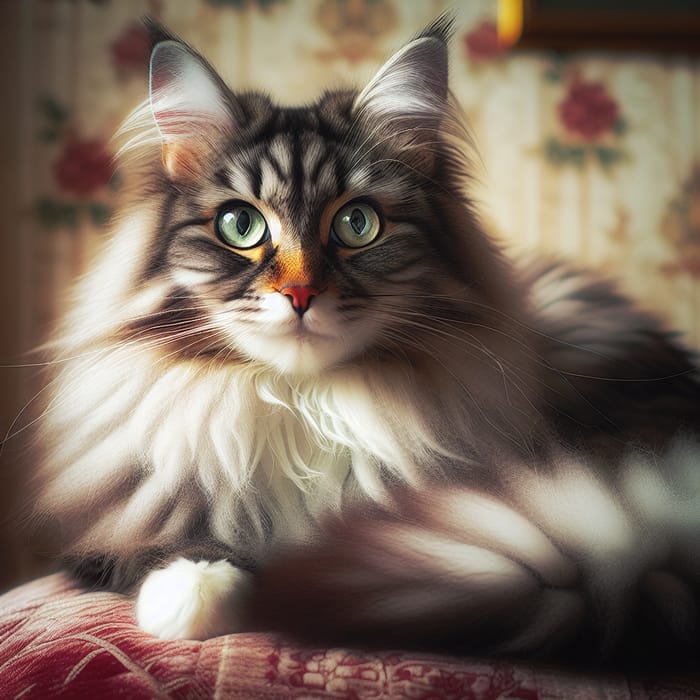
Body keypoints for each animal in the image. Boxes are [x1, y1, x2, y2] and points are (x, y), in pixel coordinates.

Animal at [31, 15, 700, 660]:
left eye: (357, 223)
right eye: (240, 225)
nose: (300, 294)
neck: (305, 406)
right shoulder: (107, 531)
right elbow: (169, 546)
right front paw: (195, 591)